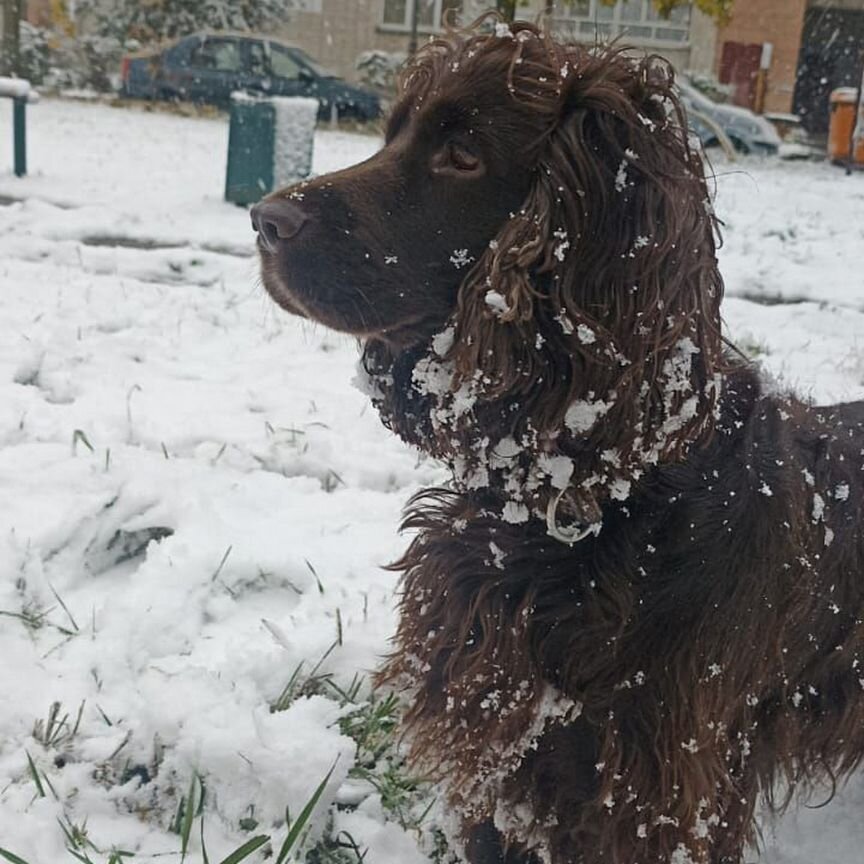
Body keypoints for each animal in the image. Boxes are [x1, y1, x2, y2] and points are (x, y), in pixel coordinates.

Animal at [251, 18, 864, 864]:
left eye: (463, 154)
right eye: (391, 132)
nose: (263, 220)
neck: (592, 488)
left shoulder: (653, 789)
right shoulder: (507, 741)